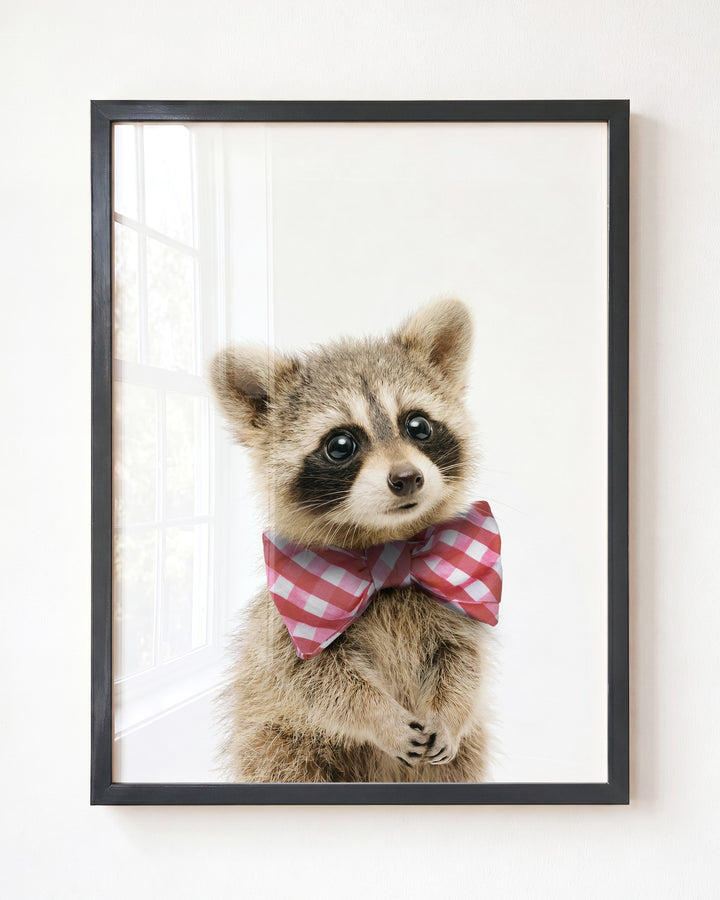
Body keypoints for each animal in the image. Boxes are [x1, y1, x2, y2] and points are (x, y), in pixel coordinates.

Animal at [210, 298, 496, 782]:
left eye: (418, 425)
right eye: (341, 444)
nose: (407, 478)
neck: (388, 547)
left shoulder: (454, 604)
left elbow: (463, 660)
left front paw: (450, 711)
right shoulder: (287, 625)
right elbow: (317, 682)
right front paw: (379, 716)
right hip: (276, 743)